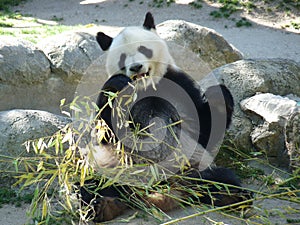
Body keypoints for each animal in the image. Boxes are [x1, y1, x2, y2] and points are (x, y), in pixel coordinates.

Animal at [79, 12, 251, 223]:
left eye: (143, 49)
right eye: (122, 57)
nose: (136, 67)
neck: (147, 86)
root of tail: (164, 191)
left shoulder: (179, 85)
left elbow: (205, 130)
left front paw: (217, 97)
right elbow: (105, 131)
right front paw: (117, 83)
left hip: (194, 167)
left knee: (221, 179)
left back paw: (233, 197)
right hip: (111, 166)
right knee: (92, 183)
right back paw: (102, 206)